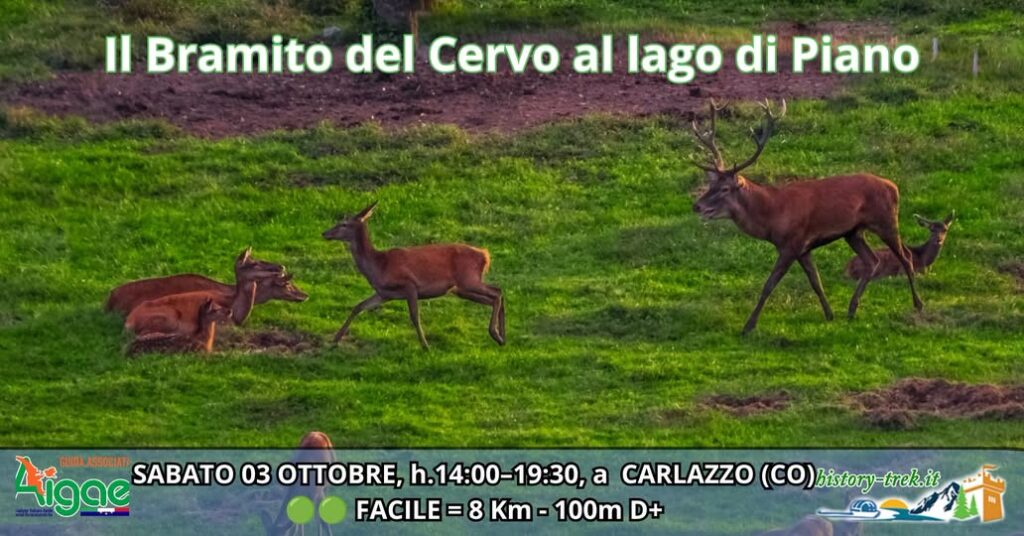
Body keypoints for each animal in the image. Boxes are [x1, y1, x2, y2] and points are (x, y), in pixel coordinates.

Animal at [322, 201, 505, 349]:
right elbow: (358, 306)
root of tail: (485, 255)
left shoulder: (409, 284)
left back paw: (496, 334)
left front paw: (425, 345)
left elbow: (414, 316)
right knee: (495, 295)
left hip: (468, 280)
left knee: (497, 292)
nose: (325, 233)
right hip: (461, 289)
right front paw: (335, 339)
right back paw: (503, 336)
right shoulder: (385, 294)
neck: (379, 266)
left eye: (344, 224)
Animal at [689, 99, 923, 334]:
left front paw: (748, 326)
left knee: (905, 256)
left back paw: (917, 304)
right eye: (710, 184)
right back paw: (851, 309)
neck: (772, 218)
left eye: (725, 189)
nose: (697, 206)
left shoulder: (791, 244)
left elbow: (769, 285)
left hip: (886, 220)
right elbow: (815, 281)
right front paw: (829, 315)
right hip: (853, 232)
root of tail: (893, 187)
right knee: (872, 260)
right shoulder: (803, 248)